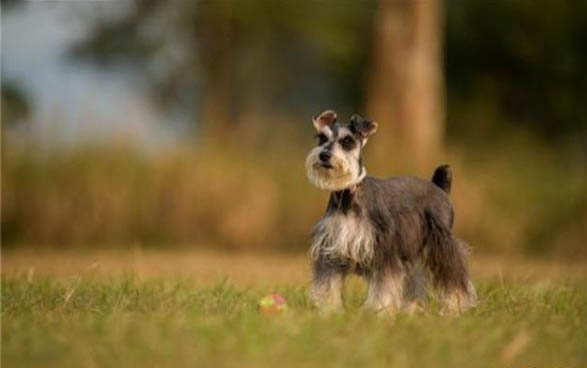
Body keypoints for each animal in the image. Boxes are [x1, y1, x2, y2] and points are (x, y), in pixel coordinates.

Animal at [308, 108, 478, 314]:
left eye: (347, 141)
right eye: (321, 138)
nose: (324, 155)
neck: (348, 196)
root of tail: (439, 188)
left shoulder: (385, 252)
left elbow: (384, 285)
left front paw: (379, 310)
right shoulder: (331, 251)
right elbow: (327, 283)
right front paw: (328, 310)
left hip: (442, 243)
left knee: (454, 276)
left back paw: (455, 307)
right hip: (414, 253)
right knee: (416, 280)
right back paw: (412, 309)